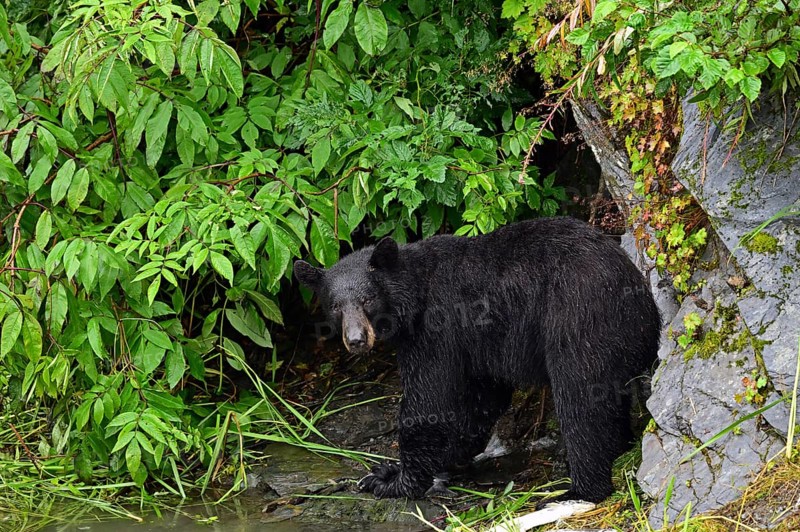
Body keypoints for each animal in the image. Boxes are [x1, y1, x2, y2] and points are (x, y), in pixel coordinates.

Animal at [294, 217, 661, 503]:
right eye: (336, 306)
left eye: (368, 299)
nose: (356, 340)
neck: (415, 293)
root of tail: (641, 301)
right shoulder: (479, 347)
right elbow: (482, 398)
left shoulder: (438, 328)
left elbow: (429, 400)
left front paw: (396, 481)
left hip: (579, 320)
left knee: (581, 400)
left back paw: (579, 490)